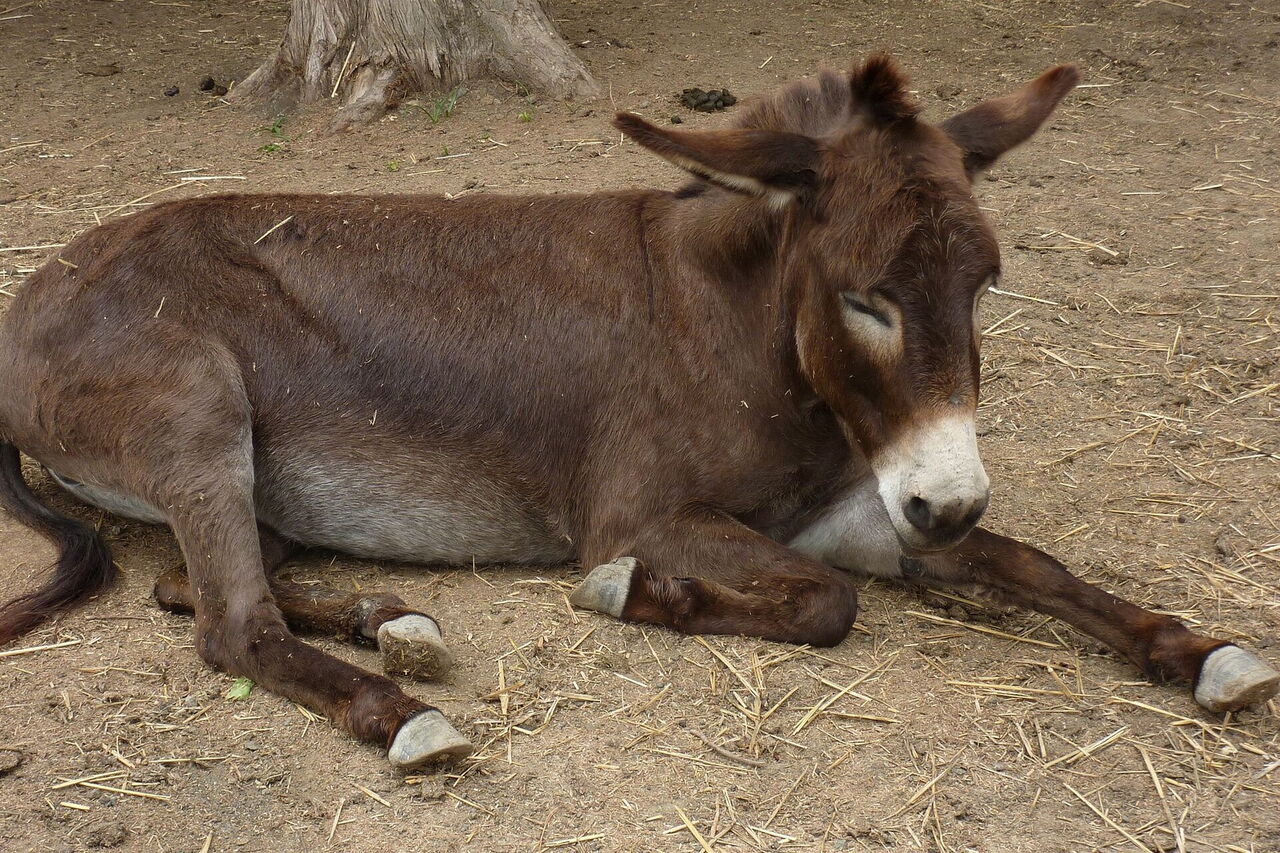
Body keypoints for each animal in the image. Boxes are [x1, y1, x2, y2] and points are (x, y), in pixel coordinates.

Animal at [1, 56, 1275, 769]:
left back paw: (392, 621)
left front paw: (1203, 653)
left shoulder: (861, 505)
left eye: (985, 284)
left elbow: (1032, 566)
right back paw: (401, 712)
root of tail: (27, 301)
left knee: (191, 588)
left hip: (242, 480)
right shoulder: (645, 510)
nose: (948, 503)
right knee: (232, 625)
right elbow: (825, 604)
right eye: (864, 296)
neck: (738, 327)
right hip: (196, 409)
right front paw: (634, 595)